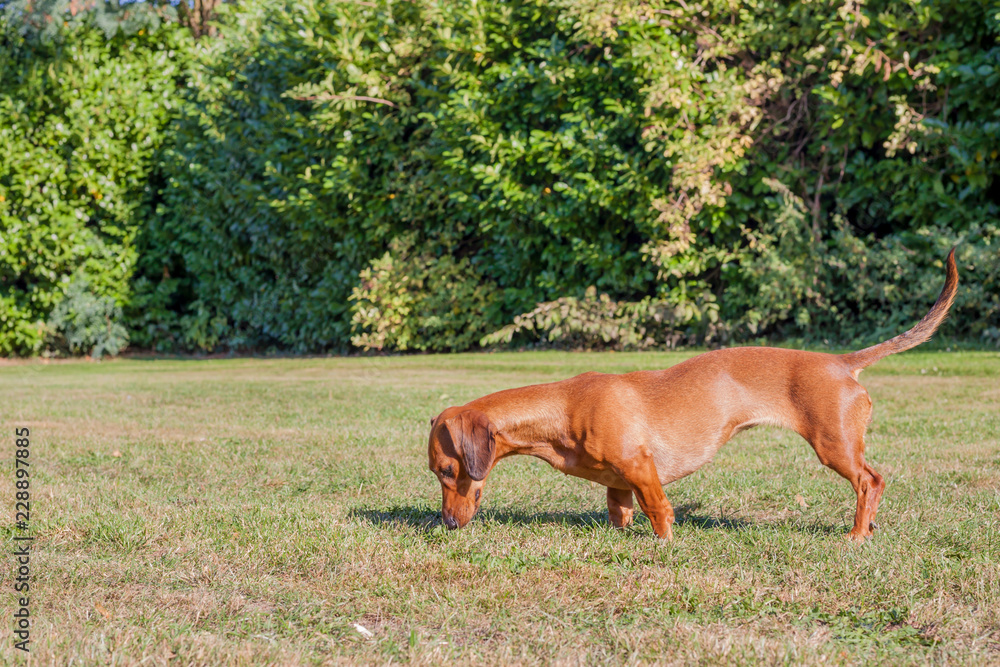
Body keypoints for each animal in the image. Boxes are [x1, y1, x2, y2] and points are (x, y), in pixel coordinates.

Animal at [426, 250, 956, 544]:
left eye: (449, 470)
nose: (446, 525)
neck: (563, 408)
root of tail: (841, 362)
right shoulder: (618, 483)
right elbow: (620, 512)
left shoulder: (642, 469)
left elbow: (660, 512)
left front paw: (663, 545)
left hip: (835, 446)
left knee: (871, 482)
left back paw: (856, 535)